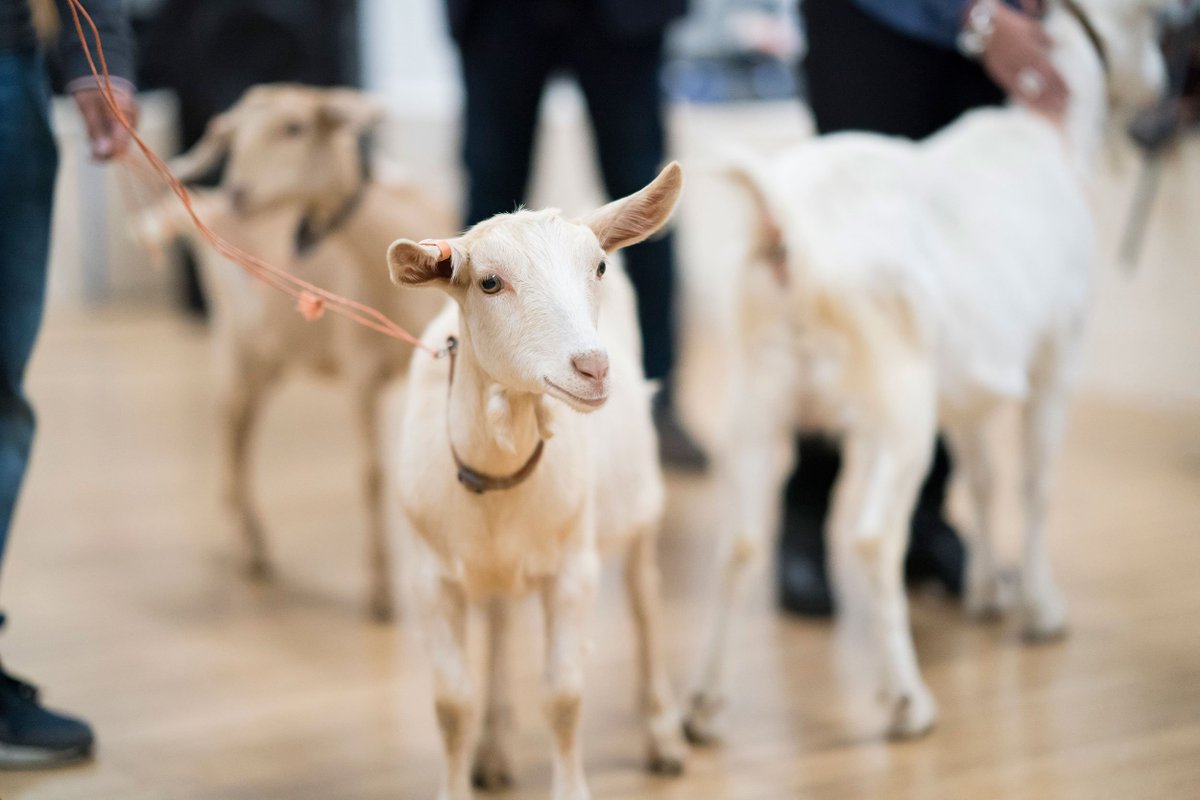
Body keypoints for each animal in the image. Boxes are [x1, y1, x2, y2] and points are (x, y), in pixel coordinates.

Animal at [167, 85, 452, 621]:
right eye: (233, 136)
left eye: (294, 127)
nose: (239, 192)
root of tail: (207, 213)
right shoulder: (361, 369)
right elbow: (371, 475)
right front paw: (380, 594)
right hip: (234, 339)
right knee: (227, 422)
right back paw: (243, 545)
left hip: (271, 356)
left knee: (245, 427)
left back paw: (251, 540)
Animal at [388, 163, 688, 800]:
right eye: (489, 283)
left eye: (597, 267)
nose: (593, 367)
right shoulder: (431, 578)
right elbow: (452, 705)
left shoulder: (573, 569)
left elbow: (564, 696)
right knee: (501, 623)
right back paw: (496, 747)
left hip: (639, 504)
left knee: (645, 602)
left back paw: (663, 734)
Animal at [685, 0, 1172, 741]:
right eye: (1154, 28)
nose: (1164, 84)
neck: (1051, 131)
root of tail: (790, 226)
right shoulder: (1057, 356)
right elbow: (1035, 484)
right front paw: (1041, 609)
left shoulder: (965, 391)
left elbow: (983, 479)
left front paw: (985, 592)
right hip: (897, 404)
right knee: (870, 540)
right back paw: (907, 702)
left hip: (757, 396)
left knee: (738, 541)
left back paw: (704, 707)